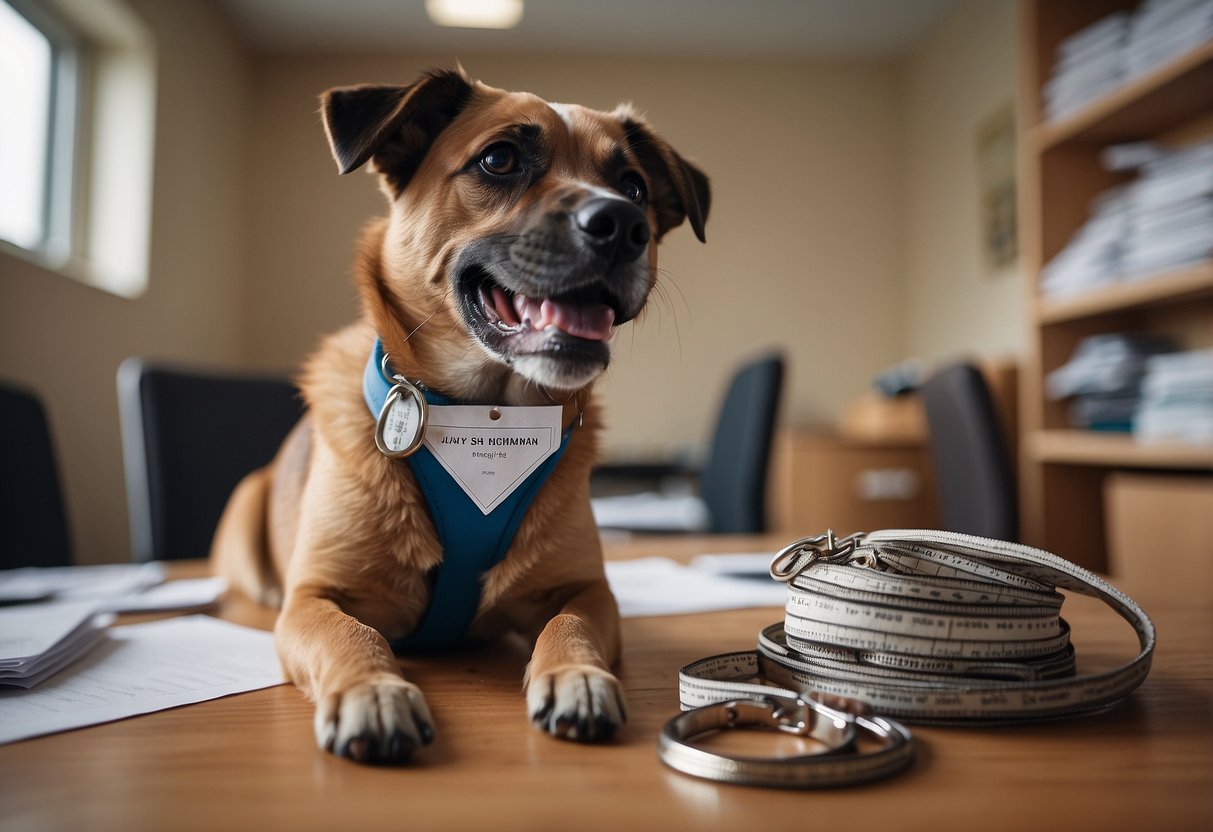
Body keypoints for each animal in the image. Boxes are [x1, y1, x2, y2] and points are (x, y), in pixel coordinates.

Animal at [207, 68, 703, 766]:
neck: (483, 405)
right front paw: (373, 690)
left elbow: (571, 623)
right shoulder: (313, 600)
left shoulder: (588, 590)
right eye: (500, 160)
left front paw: (576, 674)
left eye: (633, 186)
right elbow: (350, 634)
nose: (624, 222)